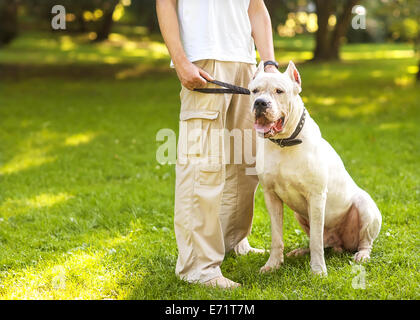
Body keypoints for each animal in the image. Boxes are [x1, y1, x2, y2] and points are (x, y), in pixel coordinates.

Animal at [248, 62, 382, 276]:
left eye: (279, 91)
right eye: (254, 91)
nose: (260, 103)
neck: (284, 143)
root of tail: (341, 244)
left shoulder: (317, 197)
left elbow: (316, 241)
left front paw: (318, 270)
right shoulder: (271, 195)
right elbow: (277, 236)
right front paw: (273, 264)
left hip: (365, 207)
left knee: (363, 241)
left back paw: (362, 255)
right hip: (300, 215)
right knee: (324, 241)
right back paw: (301, 252)